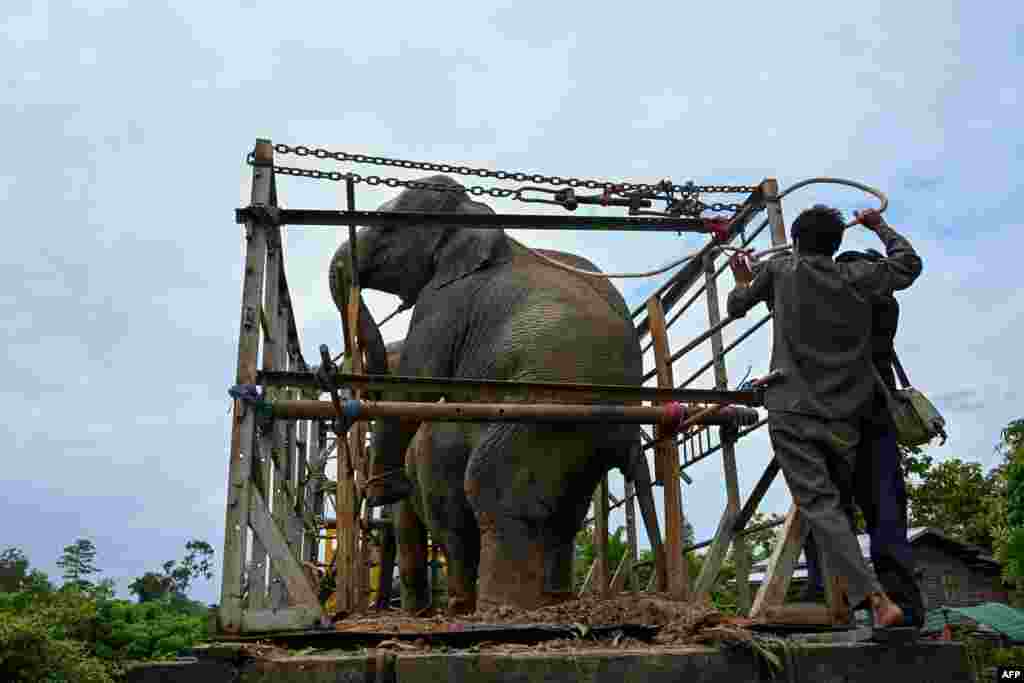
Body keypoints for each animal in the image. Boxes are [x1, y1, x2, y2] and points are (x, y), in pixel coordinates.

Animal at [329, 174, 663, 613]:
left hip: (545, 412)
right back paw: (552, 601)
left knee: (494, 491)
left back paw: (496, 607)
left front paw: (385, 488)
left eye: (386, 229)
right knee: (563, 512)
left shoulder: (445, 302)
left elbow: (419, 380)